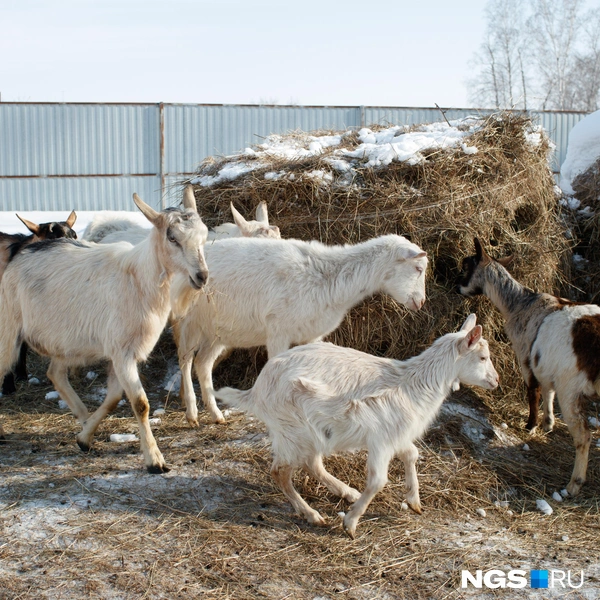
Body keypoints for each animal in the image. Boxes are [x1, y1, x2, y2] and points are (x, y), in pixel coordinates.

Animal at [176, 234, 428, 426]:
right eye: (418, 268)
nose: (421, 302)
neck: (327, 276)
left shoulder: (313, 333)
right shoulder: (278, 330)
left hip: (217, 331)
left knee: (203, 363)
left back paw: (216, 414)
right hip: (188, 322)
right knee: (185, 359)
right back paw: (192, 413)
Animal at [214, 314, 496, 540]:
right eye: (482, 357)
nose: (496, 380)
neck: (414, 385)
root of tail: (257, 390)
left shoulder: (396, 435)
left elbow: (411, 454)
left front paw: (414, 501)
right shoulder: (381, 440)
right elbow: (378, 481)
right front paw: (350, 524)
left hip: (310, 434)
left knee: (312, 464)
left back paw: (346, 492)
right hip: (293, 429)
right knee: (280, 472)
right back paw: (312, 514)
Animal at [460, 239, 600, 496]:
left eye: (466, 266)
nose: (456, 287)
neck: (520, 304)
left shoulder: (525, 356)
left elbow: (532, 391)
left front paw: (531, 424)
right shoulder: (544, 364)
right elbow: (547, 391)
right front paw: (548, 423)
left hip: (571, 388)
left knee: (584, 435)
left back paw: (574, 483)